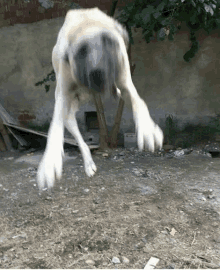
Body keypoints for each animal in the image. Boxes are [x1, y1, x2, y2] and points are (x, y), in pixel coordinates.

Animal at [36, 7, 163, 190]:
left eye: (108, 43)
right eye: (82, 51)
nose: (98, 73)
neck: (86, 25)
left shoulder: (125, 78)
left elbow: (139, 102)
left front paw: (148, 129)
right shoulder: (62, 94)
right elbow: (54, 128)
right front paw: (49, 161)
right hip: (69, 113)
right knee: (80, 140)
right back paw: (88, 163)